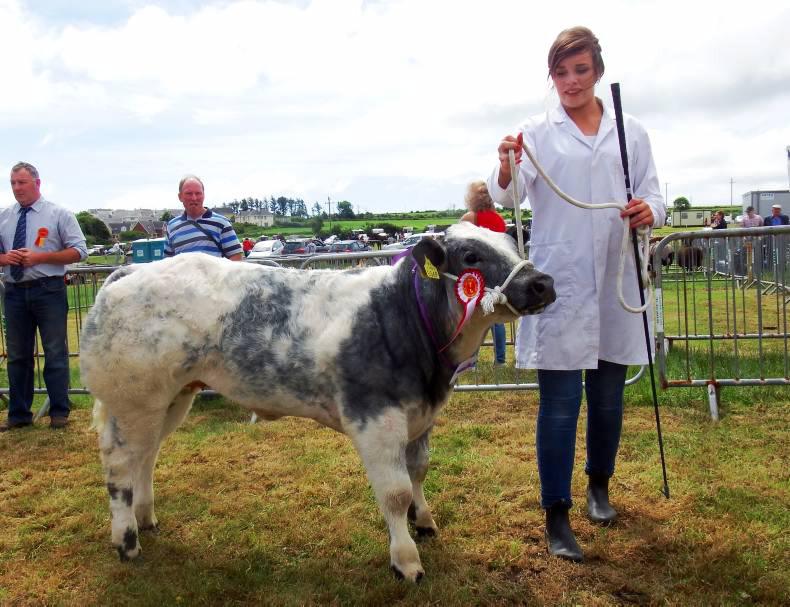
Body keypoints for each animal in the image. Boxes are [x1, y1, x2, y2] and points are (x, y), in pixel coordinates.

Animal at [80, 222, 555, 582]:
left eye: (513, 243)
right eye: (471, 256)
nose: (543, 283)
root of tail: (128, 273)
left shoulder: (421, 416)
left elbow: (418, 470)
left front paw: (424, 522)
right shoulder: (375, 418)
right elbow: (395, 491)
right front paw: (406, 561)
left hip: (171, 397)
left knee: (146, 457)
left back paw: (145, 518)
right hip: (132, 400)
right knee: (120, 466)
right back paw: (126, 541)